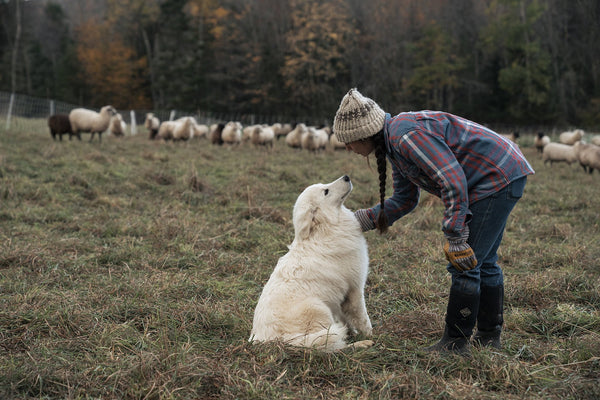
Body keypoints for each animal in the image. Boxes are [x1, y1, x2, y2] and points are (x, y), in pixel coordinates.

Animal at [247, 175, 370, 350]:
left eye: (324, 185)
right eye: (326, 191)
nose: (346, 177)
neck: (324, 228)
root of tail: (269, 339)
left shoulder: (340, 299)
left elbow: (348, 320)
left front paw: (354, 332)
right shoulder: (355, 289)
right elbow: (363, 319)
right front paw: (371, 335)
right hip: (318, 309)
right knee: (336, 346)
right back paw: (363, 344)